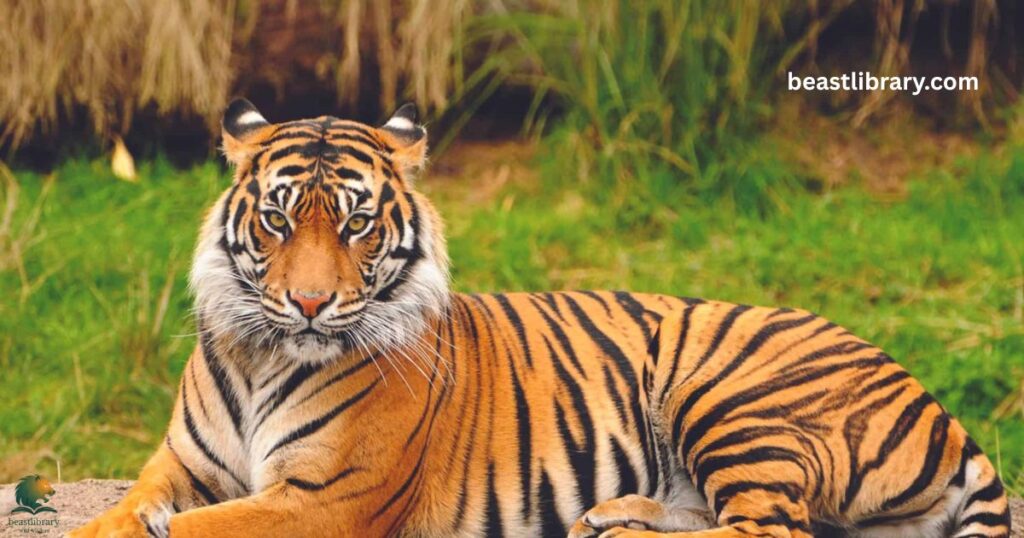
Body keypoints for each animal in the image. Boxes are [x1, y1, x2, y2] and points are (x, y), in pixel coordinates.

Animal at [70, 98, 1011, 538]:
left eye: (356, 224)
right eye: (277, 219)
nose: (308, 303)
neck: (265, 352)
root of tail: (938, 406)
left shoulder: (324, 500)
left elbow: (189, 529)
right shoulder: (177, 466)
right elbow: (123, 516)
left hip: (728, 391)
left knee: (768, 529)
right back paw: (614, 516)